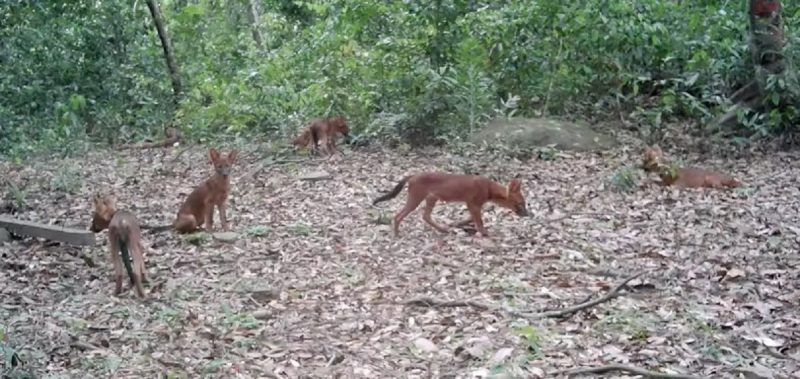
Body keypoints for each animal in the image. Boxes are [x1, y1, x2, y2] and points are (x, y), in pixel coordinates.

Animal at [370, 172, 532, 238]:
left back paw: (443, 230)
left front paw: (459, 224)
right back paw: (397, 234)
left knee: (425, 216)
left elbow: (472, 219)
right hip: (416, 199)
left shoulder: (472, 205)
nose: (527, 214)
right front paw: (484, 233)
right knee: (398, 216)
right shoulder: (473, 204)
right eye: (521, 203)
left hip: (431, 199)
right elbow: (479, 221)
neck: (489, 188)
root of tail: (412, 175)